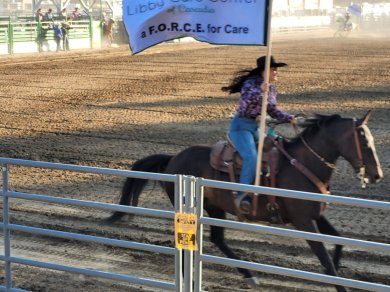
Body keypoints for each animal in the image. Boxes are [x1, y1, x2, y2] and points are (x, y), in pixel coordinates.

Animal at [107, 111, 384, 290]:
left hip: (214, 208)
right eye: (364, 141)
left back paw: (248, 274)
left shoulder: (316, 215)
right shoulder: (304, 221)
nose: (377, 174)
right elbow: (324, 258)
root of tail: (174, 158)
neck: (302, 164)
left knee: (218, 239)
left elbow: (336, 243)